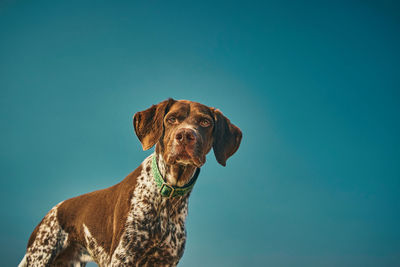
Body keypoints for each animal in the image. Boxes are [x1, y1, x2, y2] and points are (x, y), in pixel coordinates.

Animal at [18, 99, 241, 266]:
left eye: (205, 122)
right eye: (171, 119)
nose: (185, 135)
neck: (167, 197)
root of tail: (52, 211)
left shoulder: (166, 261)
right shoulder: (123, 258)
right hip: (40, 256)